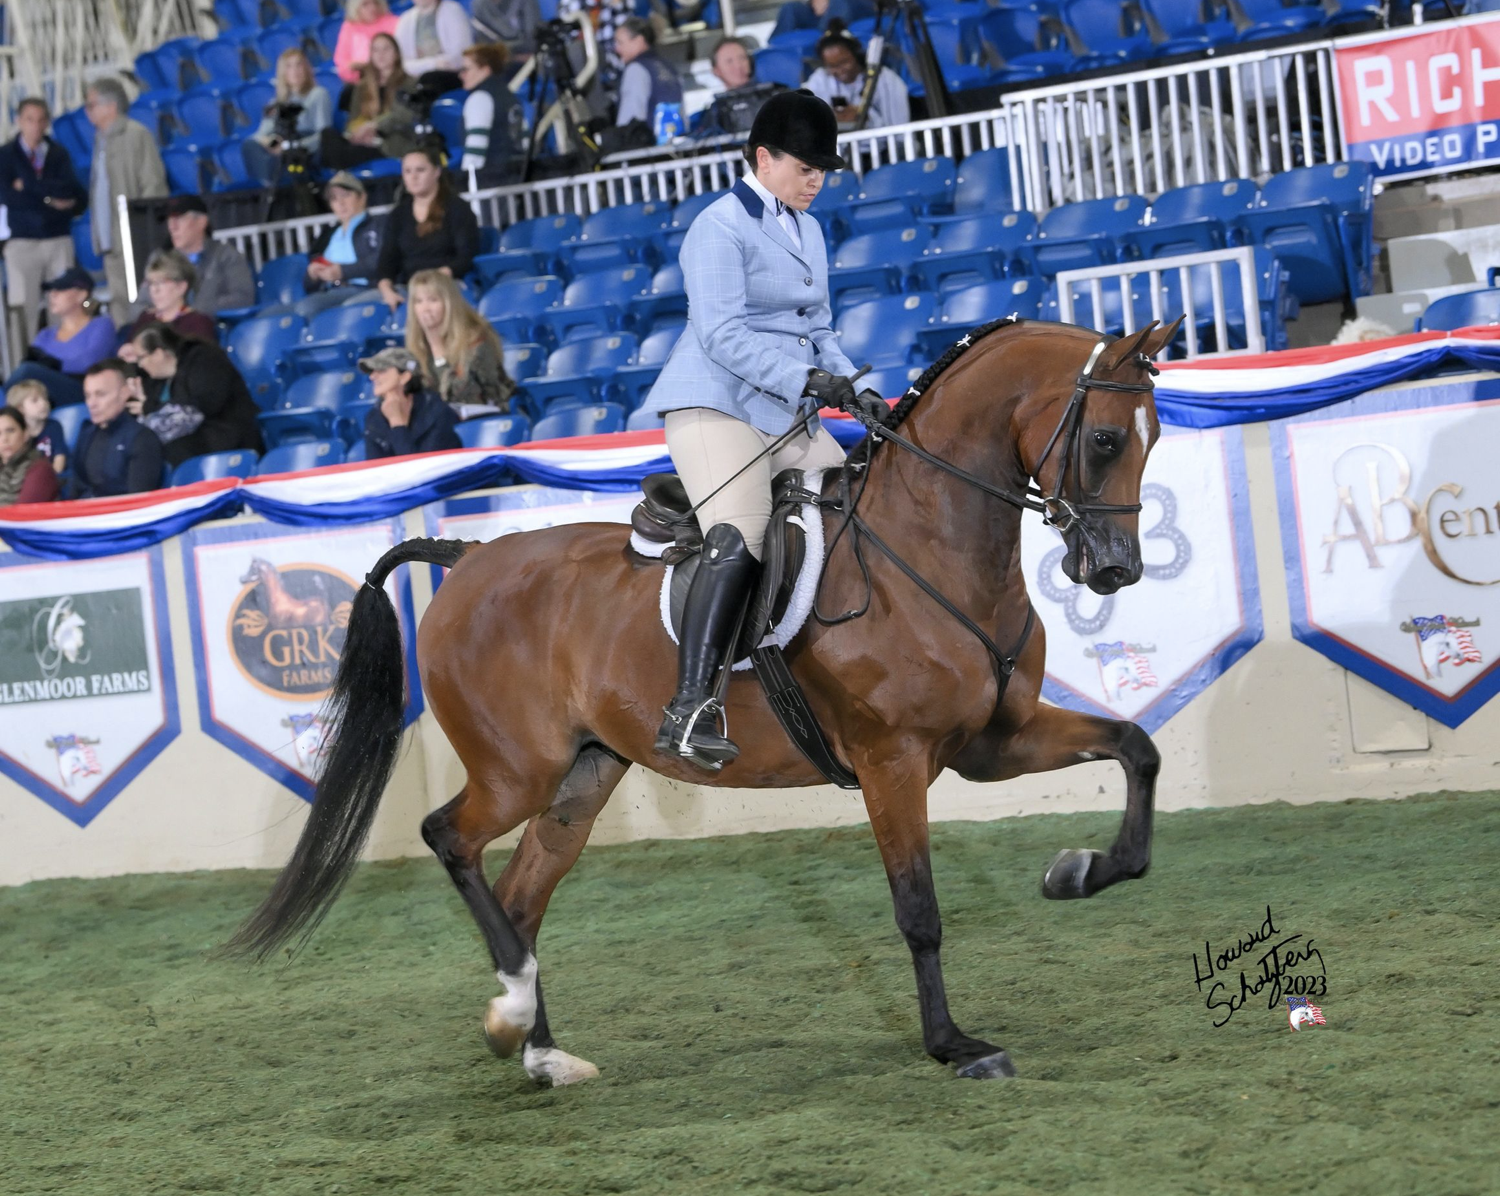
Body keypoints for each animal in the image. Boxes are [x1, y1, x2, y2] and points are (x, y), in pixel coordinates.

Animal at [228, 316, 1184, 1087]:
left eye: (1154, 436)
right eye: (1105, 439)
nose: (1114, 570)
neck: (931, 544)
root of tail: (467, 558)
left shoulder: (995, 741)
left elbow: (1137, 750)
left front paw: (1080, 871)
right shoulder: (893, 760)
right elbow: (919, 912)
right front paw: (954, 1045)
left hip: (583, 775)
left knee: (523, 894)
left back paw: (541, 1051)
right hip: (515, 769)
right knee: (449, 840)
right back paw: (511, 1016)